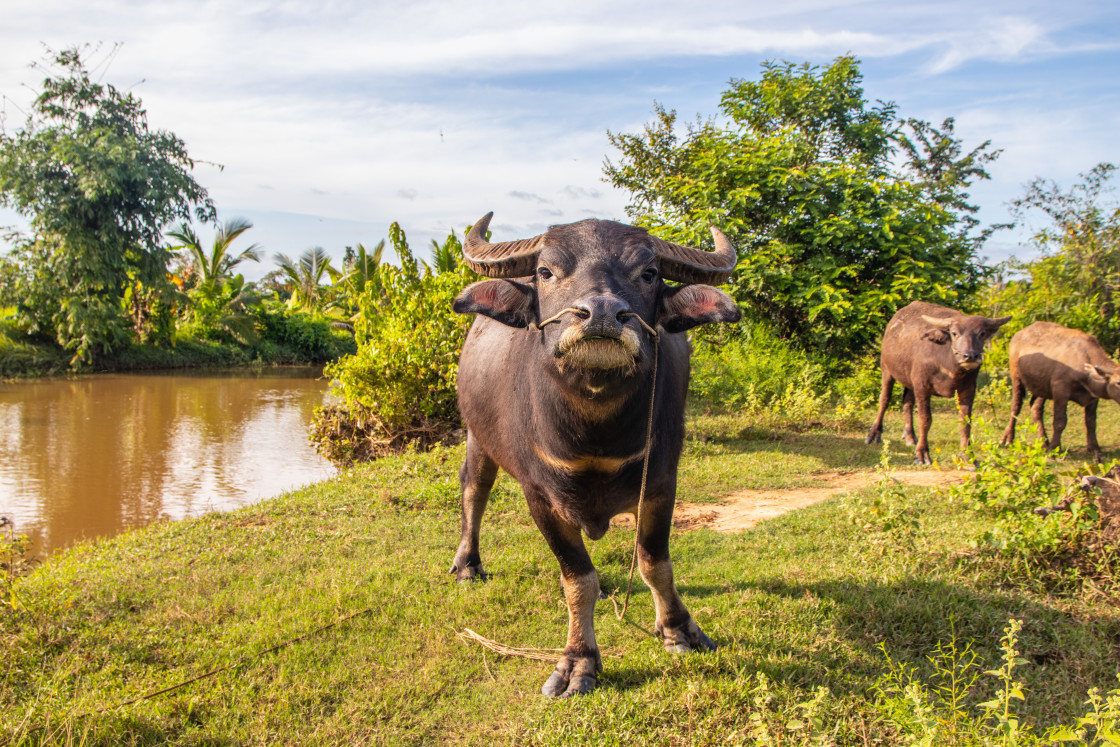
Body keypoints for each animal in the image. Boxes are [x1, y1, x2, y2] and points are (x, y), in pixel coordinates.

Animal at [450, 212, 739, 698]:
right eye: (546, 272)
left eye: (649, 272)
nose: (602, 313)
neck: (596, 433)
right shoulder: (540, 498)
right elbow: (576, 578)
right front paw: (578, 662)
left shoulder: (661, 484)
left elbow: (654, 561)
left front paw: (679, 630)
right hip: (477, 435)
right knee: (475, 490)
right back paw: (468, 565)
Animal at [860, 300, 1012, 463]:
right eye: (954, 333)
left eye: (982, 334)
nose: (970, 356)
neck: (949, 366)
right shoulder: (922, 386)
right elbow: (925, 419)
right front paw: (922, 453)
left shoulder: (968, 388)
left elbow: (965, 421)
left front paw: (967, 456)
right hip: (887, 370)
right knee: (884, 399)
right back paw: (874, 435)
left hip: (909, 381)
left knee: (907, 402)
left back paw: (910, 436)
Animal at [1003, 322, 1120, 461]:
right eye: (1118, 382)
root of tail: (1018, 335)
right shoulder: (1060, 389)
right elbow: (1060, 422)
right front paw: (1054, 449)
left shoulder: (1093, 398)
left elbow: (1091, 422)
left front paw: (1095, 449)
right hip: (1016, 377)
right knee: (1015, 407)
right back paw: (1008, 439)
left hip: (1043, 387)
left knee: (1036, 409)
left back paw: (1044, 441)